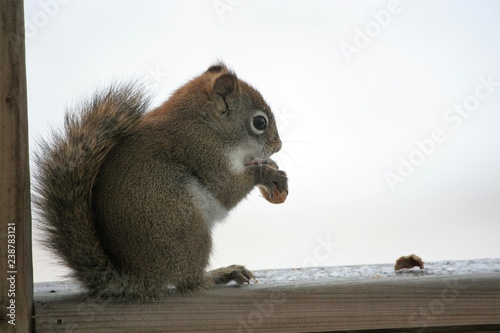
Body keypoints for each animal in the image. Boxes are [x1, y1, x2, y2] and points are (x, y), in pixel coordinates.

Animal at [34, 62, 290, 298]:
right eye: (260, 122)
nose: (278, 146)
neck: (206, 124)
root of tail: (140, 278)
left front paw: (270, 166)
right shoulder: (203, 153)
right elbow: (225, 190)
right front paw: (266, 173)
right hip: (186, 223)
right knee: (189, 283)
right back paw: (220, 275)